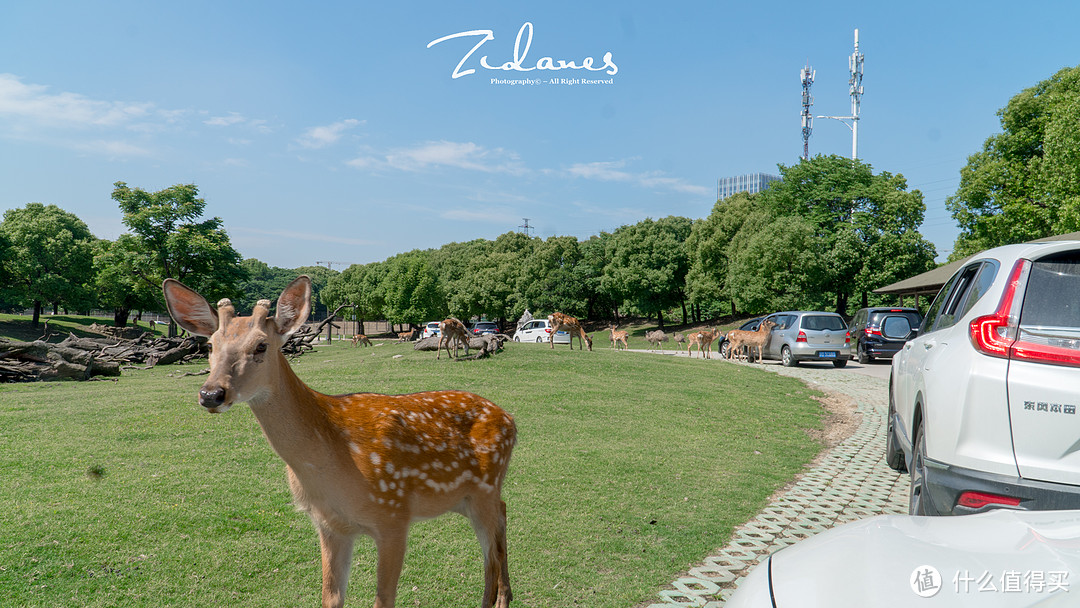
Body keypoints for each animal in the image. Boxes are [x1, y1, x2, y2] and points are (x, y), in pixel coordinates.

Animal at [162, 276, 516, 608]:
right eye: (210, 346)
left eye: (261, 346)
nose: (211, 393)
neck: (330, 459)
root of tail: (511, 420)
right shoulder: (329, 524)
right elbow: (331, 597)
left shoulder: (394, 515)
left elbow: (383, 600)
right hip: (465, 498)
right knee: (502, 517)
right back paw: (504, 596)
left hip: (484, 486)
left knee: (491, 550)